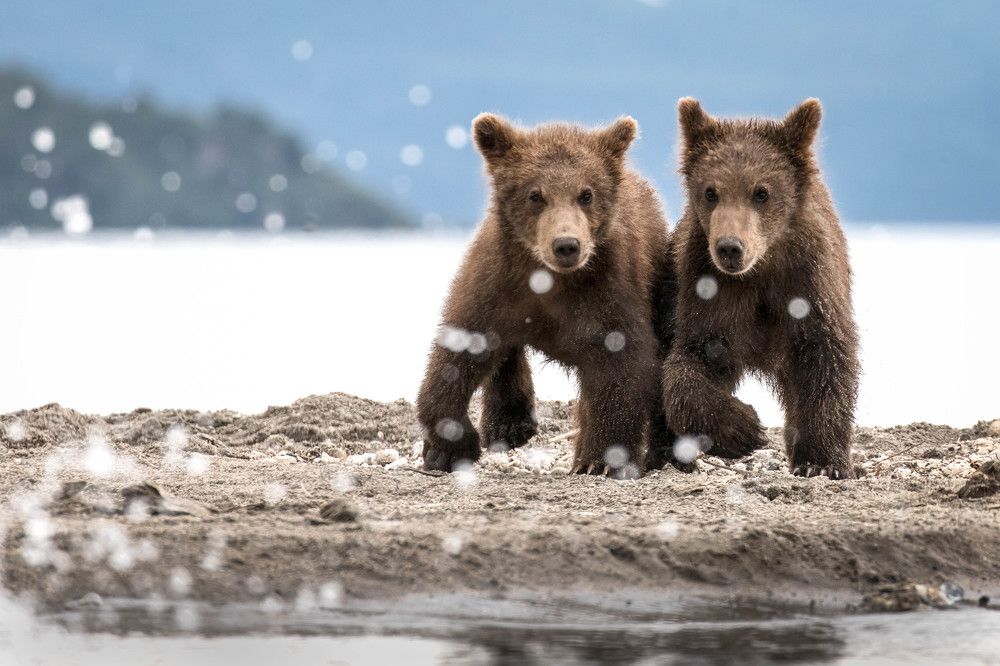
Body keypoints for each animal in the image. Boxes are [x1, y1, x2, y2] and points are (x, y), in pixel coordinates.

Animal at [416, 113, 676, 476]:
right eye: (535, 195)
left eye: (586, 194)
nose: (566, 244)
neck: (550, 279)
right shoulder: (497, 282)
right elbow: (459, 351)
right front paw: (447, 449)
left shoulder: (608, 289)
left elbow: (621, 364)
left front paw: (599, 460)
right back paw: (508, 423)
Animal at [651, 98, 860, 479]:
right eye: (711, 192)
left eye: (761, 192)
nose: (730, 247)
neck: (762, 268)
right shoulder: (711, 287)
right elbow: (693, 361)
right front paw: (745, 428)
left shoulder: (808, 282)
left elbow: (825, 359)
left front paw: (823, 462)